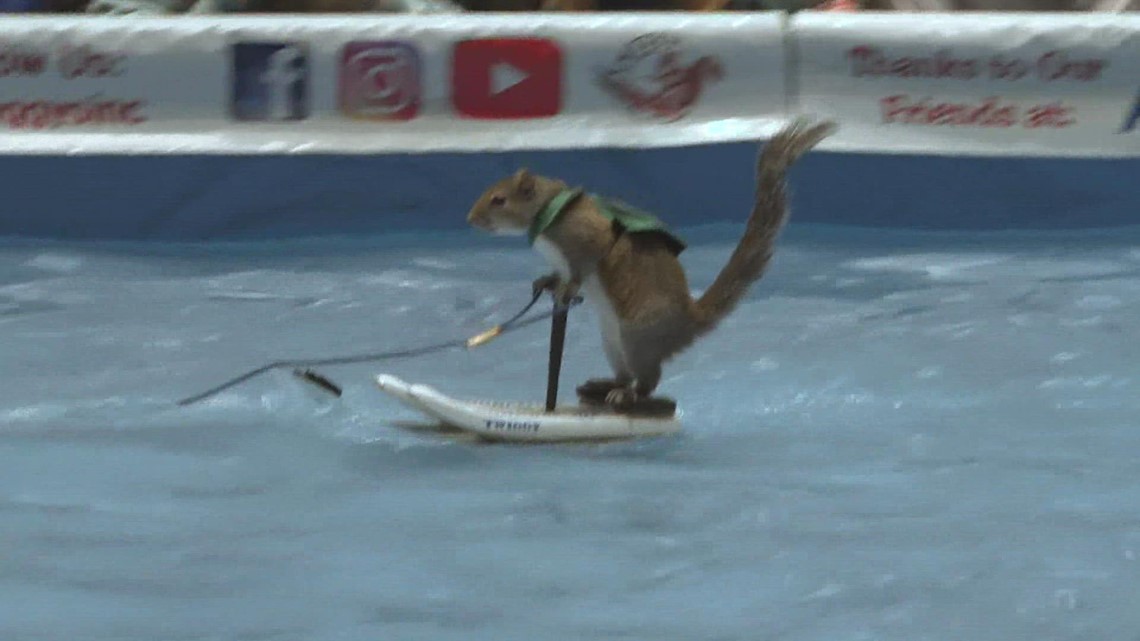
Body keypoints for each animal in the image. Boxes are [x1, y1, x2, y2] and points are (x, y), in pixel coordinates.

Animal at [466, 117, 836, 410]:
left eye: (499, 200)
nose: (470, 218)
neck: (550, 211)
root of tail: (686, 324)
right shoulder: (562, 259)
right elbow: (557, 273)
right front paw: (545, 282)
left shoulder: (586, 239)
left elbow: (583, 268)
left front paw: (566, 291)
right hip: (613, 343)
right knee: (625, 376)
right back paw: (604, 386)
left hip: (636, 339)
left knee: (647, 380)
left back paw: (627, 396)